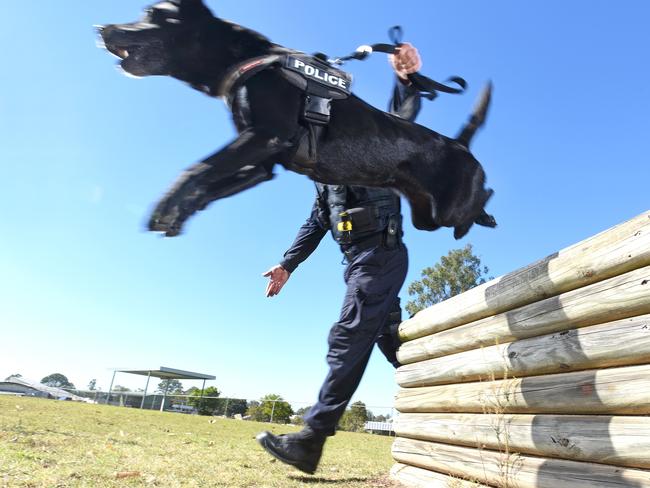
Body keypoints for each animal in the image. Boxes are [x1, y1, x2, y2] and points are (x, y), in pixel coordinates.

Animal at [97, 0, 492, 238]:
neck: (242, 59)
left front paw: (167, 204)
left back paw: (485, 215)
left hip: (447, 211)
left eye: (152, 13)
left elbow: (197, 168)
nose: (101, 29)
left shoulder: (265, 135)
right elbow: (210, 183)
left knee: (483, 197)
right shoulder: (262, 163)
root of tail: (460, 144)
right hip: (426, 217)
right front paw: (180, 211)